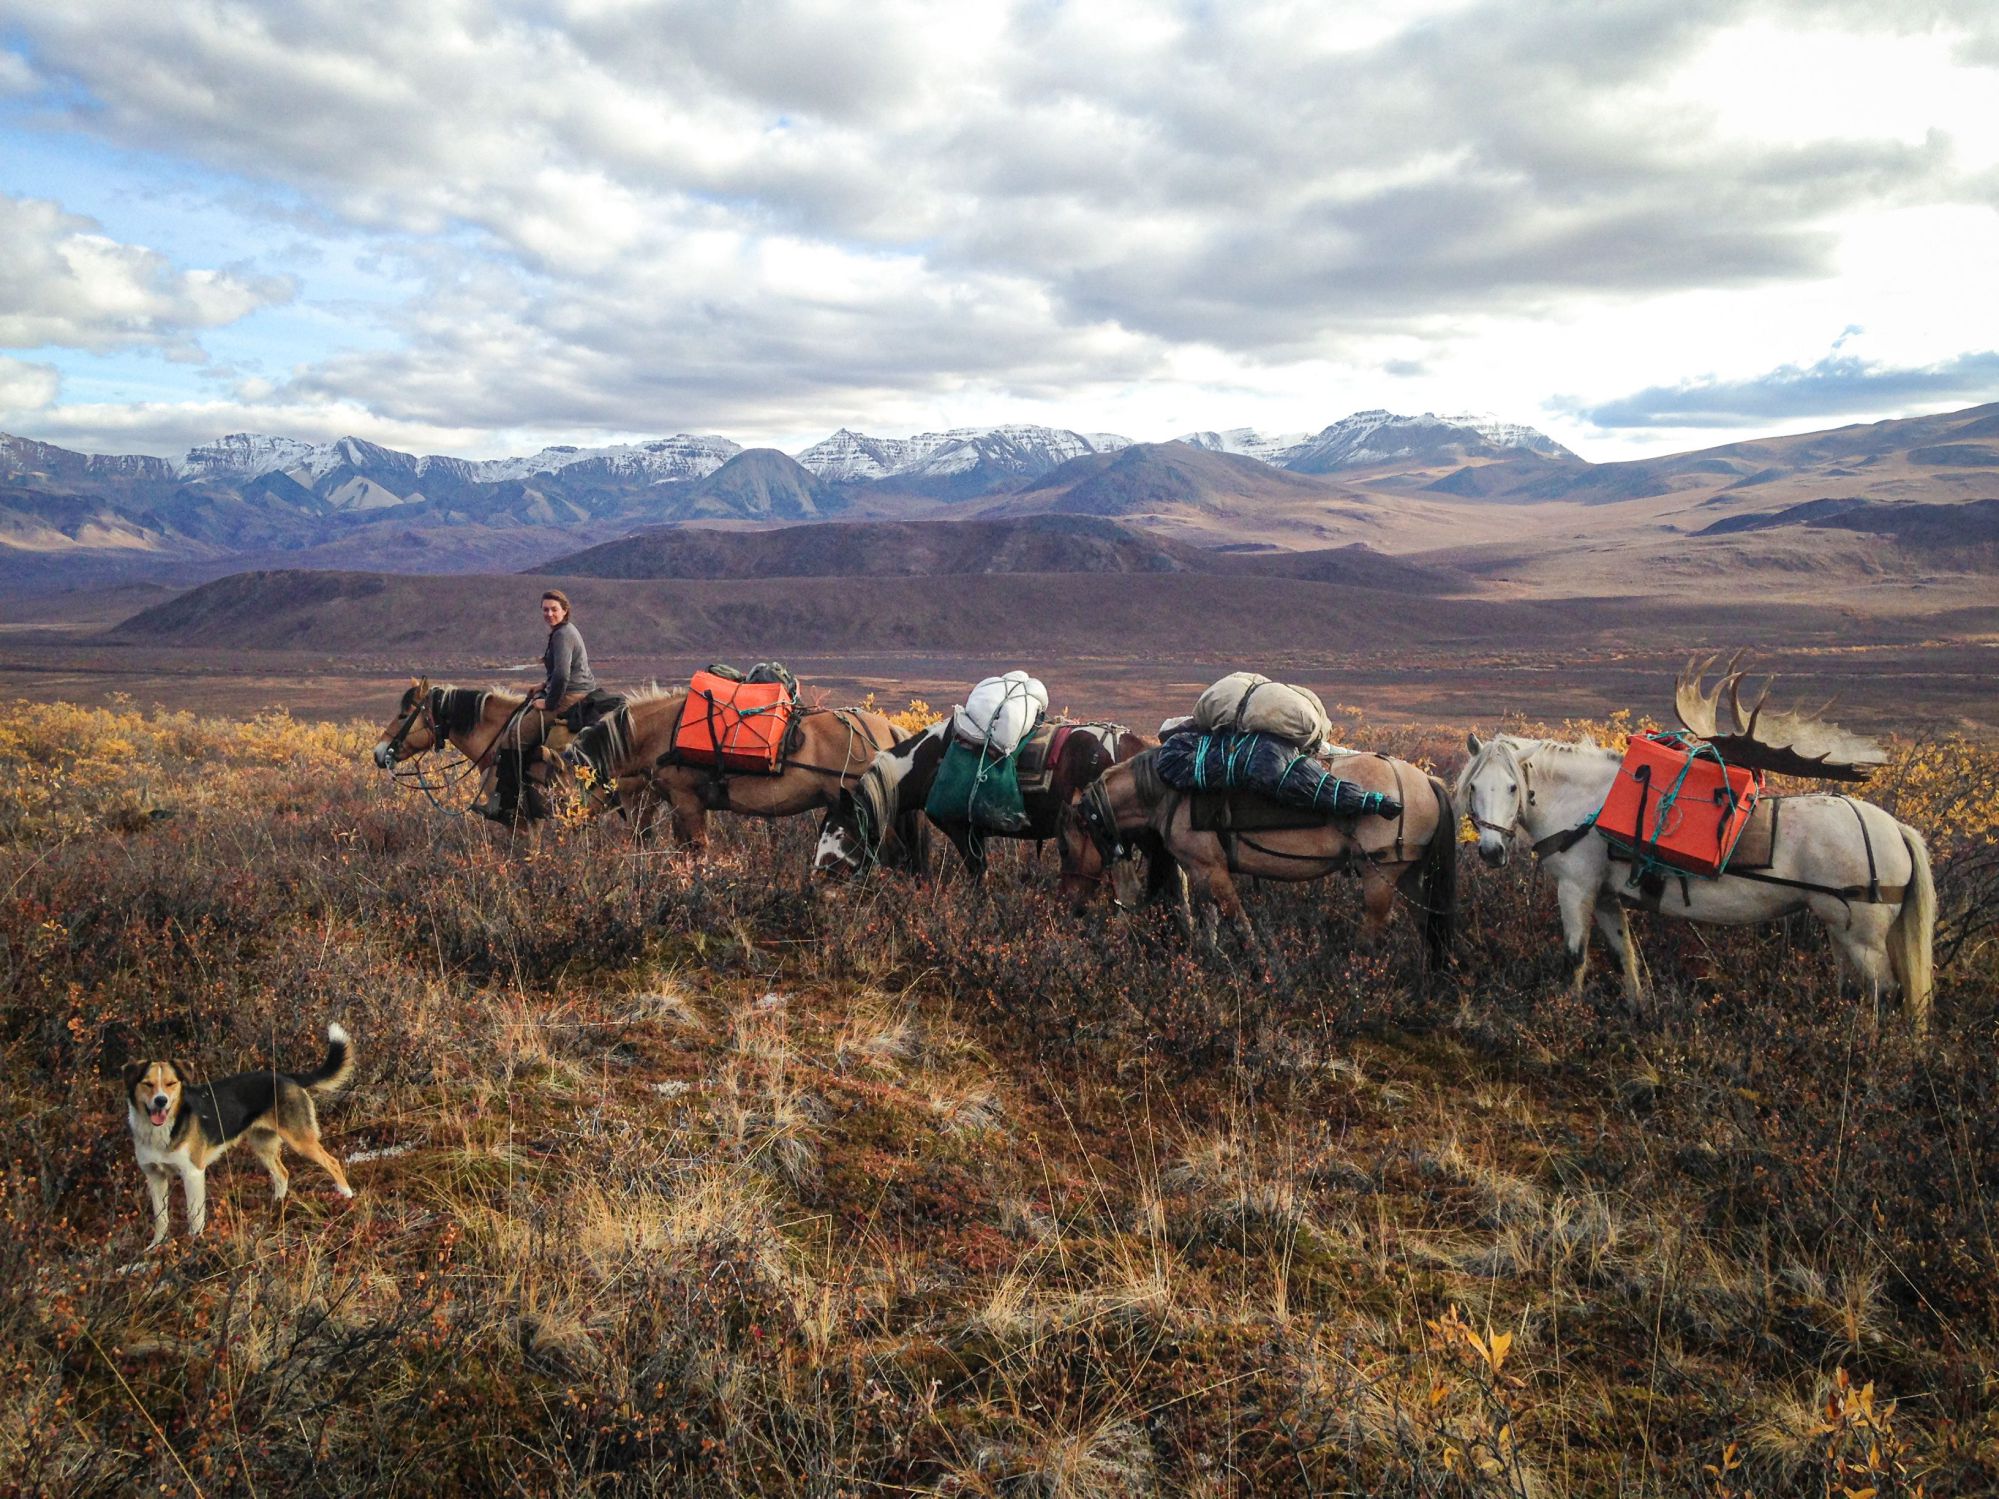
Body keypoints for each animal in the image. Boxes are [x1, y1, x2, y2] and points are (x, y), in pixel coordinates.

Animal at [124, 1031, 359, 1247]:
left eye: (171, 1083)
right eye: (147, 1084)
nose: (161, 1101)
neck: (161, 1131)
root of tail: (288, 1076)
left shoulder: (192, 1173)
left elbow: (194, 1216)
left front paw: (194, 1245)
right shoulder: (154, 1176)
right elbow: (161, 1219)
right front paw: (156, 1247)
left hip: (300, 1141)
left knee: (332, 1162)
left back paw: (346, 1195)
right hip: (262, 1145)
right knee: (282, 1174)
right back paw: (277, 1205)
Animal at [555, 683, 915, 851]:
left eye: (584, 779)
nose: (571, 822)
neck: (662, 733)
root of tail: (887, 730)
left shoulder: (687, 801)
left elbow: (696, 849)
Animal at [1055, 747, 1463, 975]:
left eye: (1063, 847)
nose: (1070, 906)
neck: (1167, 793)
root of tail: (1427, 782)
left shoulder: (1213, 869)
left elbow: (1237, 920)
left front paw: (1258, 967)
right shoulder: (1199, 871)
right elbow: (1210, 918)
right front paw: (1210, 957)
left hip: (1381, 874)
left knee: (1376, 924)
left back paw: (1353, 972)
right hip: (1408, 873)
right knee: (1426, 919)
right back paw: (1431, 974)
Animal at [1455, 735, 1935, 1039]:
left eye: (1513, 786)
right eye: (1474, 786)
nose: (1491, 852)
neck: (1585, 807)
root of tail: (1895, 829)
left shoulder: (1576, 890)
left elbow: (1575, 958)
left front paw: (1565, 1014)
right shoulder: (1607, 898)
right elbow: (1625, 955)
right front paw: (1638, 1011)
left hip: (1864, 939)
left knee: (1885, 992)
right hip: (1841, 928)